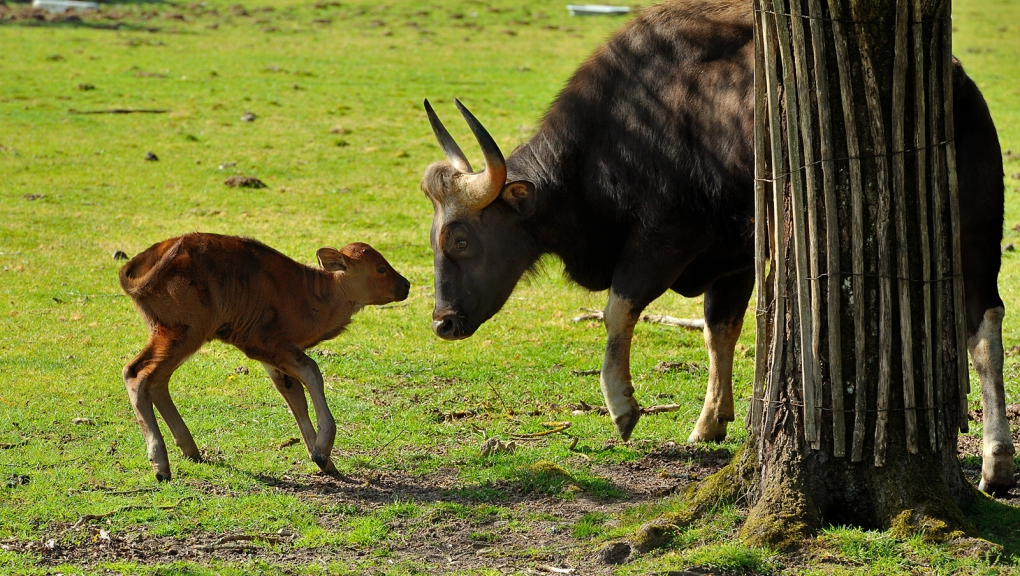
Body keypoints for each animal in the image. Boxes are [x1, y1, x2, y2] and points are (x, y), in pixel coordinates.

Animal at [124, 233, 414, 481]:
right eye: (380, 268)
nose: (406, 285)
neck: (313, 293)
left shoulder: (273, 358)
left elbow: (295, 398)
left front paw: (324, 461)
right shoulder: (265, 343)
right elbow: (312, 372)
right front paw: (322, 451)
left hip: (179, 336)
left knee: (157, 381)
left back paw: (191, 451)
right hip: (184, 332)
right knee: (136, 373)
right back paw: (161, 466)